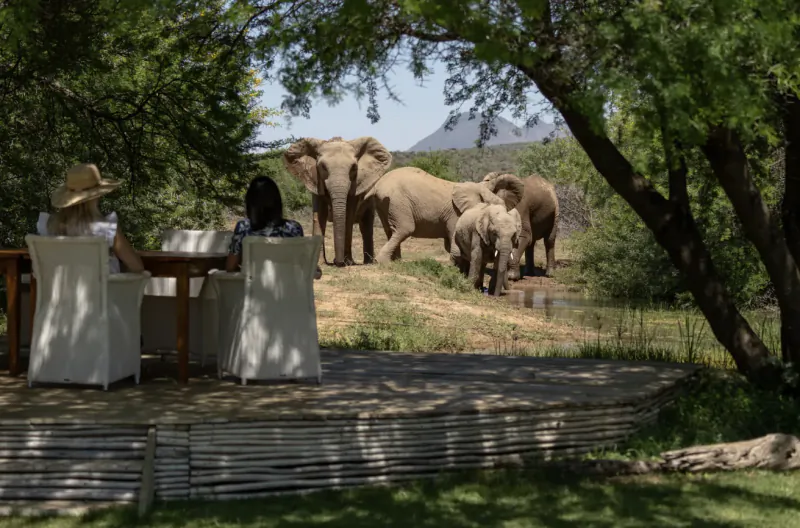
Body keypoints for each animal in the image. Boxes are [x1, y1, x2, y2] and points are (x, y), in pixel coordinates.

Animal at [283, 136, 392, 267]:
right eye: (323, 167)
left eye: (354, 167)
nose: (338, 262)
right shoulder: (316, 181)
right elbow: (320, 215)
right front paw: (319, 263)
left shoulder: (355, 185)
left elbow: (348, 216)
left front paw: (348, 262)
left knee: (366, 227)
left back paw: (368, 263)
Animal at [367, 167, 524, 263]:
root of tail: (378, 185)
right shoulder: (456, 214)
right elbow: (455, 244)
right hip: (398, 202)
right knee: (404, 229)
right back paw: (382, 262)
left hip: (386, 205)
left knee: (391, 231)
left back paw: (396, 262)